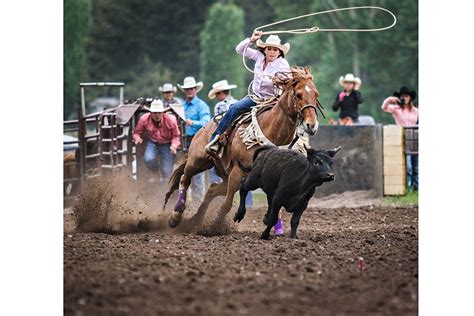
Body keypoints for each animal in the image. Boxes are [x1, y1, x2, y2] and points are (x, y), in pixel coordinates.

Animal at [163, 67, 322, 230]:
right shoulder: (238, 172)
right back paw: (175, 216)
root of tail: (203, 128)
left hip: (224, 174)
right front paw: (215, 226)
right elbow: (227, 205)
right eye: (298, 94)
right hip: (198, 160)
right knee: (185, 179)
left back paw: (195, 220)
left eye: (316, 94)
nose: (312, 125)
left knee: (211, 189)